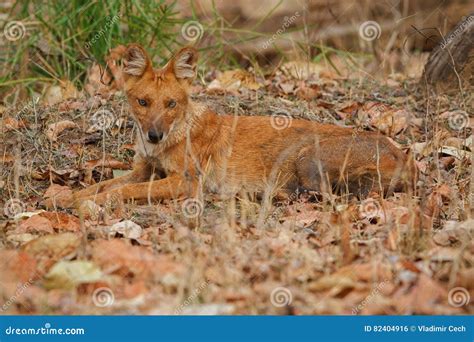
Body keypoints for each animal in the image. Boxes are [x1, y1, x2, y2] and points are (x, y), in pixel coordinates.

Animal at [51, 44, 414, 207]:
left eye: (171, 104)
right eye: (143, 102)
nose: (154, 135)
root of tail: (404, 155)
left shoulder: (186, 182)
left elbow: (123, 191)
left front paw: (85, 203)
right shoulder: (143, 169)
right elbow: (102, 185)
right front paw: (66, 197)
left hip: (305, 156)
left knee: (319, 194)